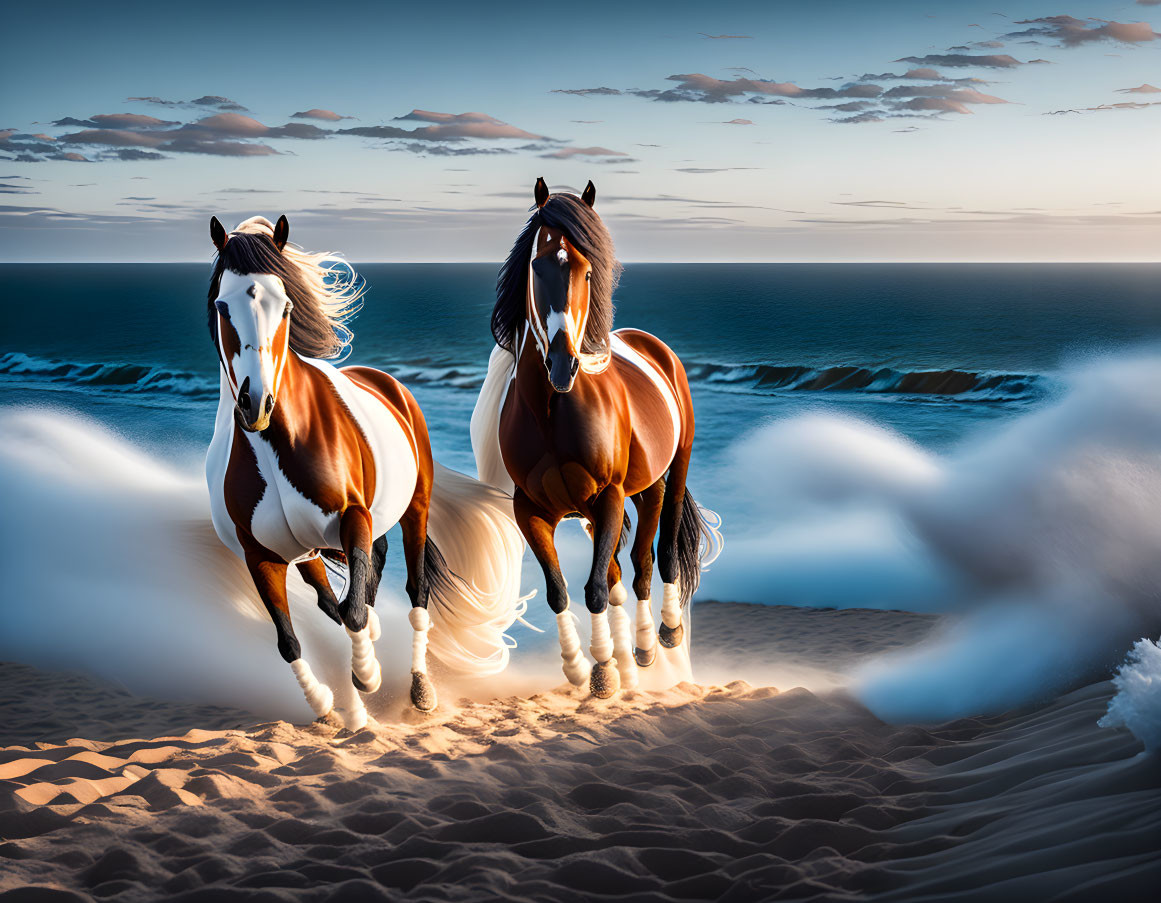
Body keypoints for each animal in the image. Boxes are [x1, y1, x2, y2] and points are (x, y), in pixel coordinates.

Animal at [206, 214, 524, 728]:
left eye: (285, 305)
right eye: (222, 304)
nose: (256, 404)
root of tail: (387, 381)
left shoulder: (353, 517)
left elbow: (353, 611)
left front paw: (368, 675)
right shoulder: (261, 554)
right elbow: (293, 636)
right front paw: (326, 705)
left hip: (414, 510)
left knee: (414, 591)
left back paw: (419, 691)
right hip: (310, 548)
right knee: (340, 591)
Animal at [469, 176, 719, 696]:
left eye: (587, 272)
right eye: (538, 266)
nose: (563, 365)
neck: (552, 414)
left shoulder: (607, 497)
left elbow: (596, 589)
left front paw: (603, 672)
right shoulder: (531, 509)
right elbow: (561, 590)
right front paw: (581, 668)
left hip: (671, 472)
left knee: (656, 559)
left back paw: (659, 638)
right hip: (634, 494)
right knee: (629, 569)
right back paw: (632, 659)